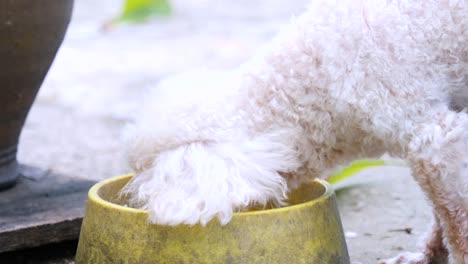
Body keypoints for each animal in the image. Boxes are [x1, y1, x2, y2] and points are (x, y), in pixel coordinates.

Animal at [122, 1, 466, 262]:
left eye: (147, 173)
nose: (135, 204)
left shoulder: (434, 139)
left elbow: (455, 219)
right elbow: (441, 214)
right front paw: (427, 257)